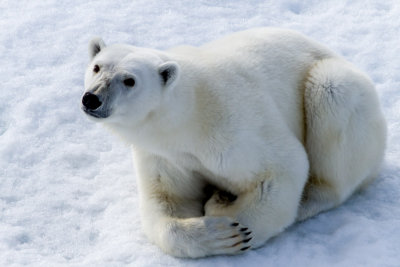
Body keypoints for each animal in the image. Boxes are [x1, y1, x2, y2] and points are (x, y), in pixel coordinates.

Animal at [80, 28, 388, 258]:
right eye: (96, 67)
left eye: (129, 80)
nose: (92, 98)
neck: (187, 116)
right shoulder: (166, 155)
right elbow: (167, 201)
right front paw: (217, 231)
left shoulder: (233, 123)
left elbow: (282, 169)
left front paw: (233, 223)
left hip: (341, 94)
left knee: (332, 94)